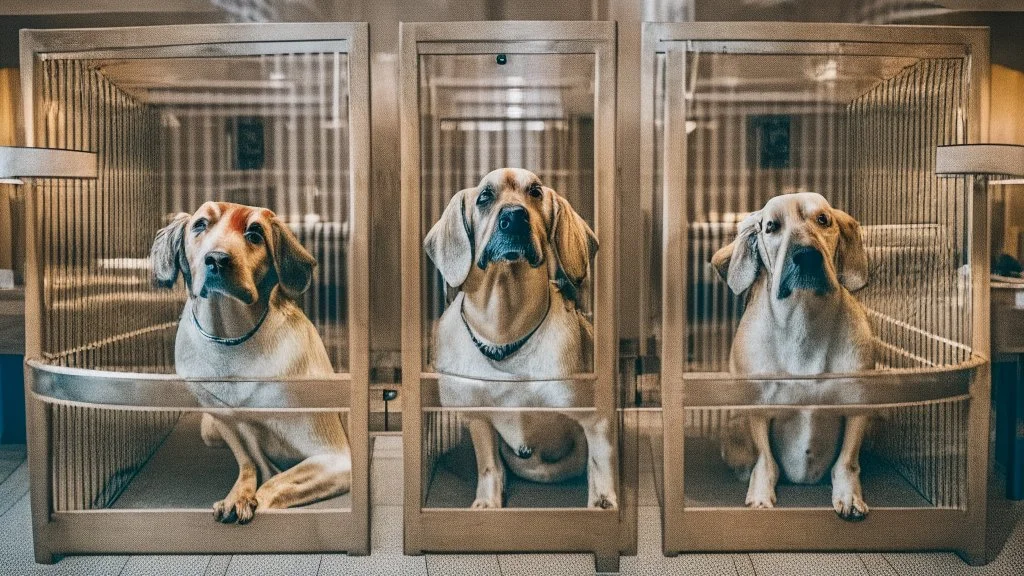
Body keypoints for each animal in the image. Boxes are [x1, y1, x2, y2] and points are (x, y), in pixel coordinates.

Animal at [149, 200, 352, 520]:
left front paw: (255, 499)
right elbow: (251, 463)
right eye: (200, 224)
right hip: (210, 430)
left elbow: (277, 482)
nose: (217, 259)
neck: (231, 339)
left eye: (255, 234)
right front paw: (239, 494)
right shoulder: (229, 424)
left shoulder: (336, 458)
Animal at [423, 166, 614, 506]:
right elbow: (489, 465)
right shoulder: (479, 418)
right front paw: (487, 501)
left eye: (535, 191)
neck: (504, 332)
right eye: (484, 196)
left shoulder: (595, 419)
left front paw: (602, 503)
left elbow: (599, 464)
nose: (514, 217)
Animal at [712, 192, 872, 520]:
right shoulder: (756, 408)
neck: (803, 321)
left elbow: (847, 462)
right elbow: (765, 460)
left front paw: (849, 496)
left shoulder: (858, 405)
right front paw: (760, 494)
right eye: (771, 226)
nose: (806, 256)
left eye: (823, 219)